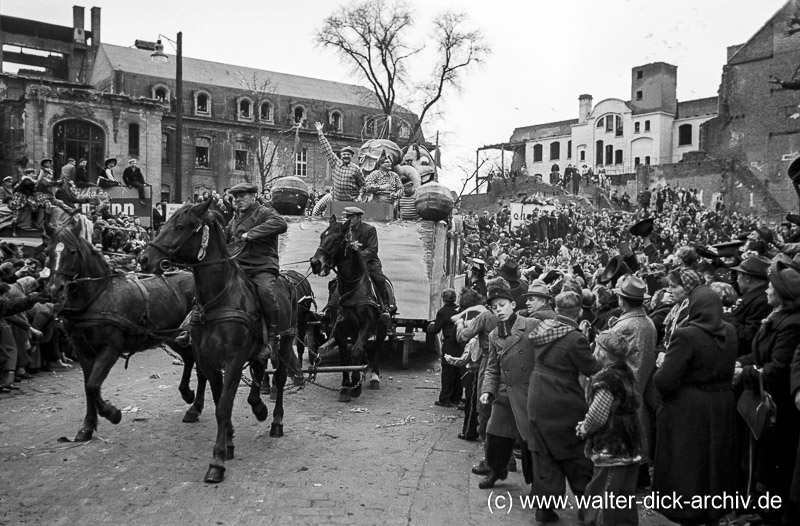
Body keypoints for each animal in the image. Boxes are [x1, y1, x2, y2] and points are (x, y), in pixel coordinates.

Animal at [43, 221, 202, 444]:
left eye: (72, 251)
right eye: (48, 251)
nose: (54, 288)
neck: (99, 297)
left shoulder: (111, 349)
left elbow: (93, 386)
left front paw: (112, 413)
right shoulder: (83, 352)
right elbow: (88, 388)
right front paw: (87, 426)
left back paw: (194, 407)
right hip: (172, 336)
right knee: (188, 358)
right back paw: (187, 393)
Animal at [139, 200, 298, 484]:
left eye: (180, 226)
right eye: (165, 223)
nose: (144, 259)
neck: (220, 299)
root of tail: (288, 281)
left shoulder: (233, 360)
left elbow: (224, 405)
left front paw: (217, 461)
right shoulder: (208, 360)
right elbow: (219, 400)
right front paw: (229, 442)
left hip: (286, 340)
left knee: (279, 378)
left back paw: (276, 422)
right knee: (259, 370)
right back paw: (258, 407)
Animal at [310, 214, 388, 404]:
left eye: (337, 239)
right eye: (322, 236)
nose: (315, 263)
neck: (352, 289)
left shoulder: (367, 324)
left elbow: (357, 351)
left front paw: (356, 385)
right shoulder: (339, 328)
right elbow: (346, 356)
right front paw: (346, 387)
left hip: (382, 327)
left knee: (376, 348)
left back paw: (374, 377)